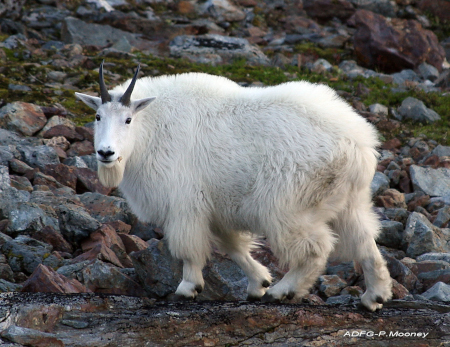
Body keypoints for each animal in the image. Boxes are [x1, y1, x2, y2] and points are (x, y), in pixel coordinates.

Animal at [75, 62, 392, 312]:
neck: (149, 129)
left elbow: (189, 248)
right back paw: (374, 296)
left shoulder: (184, 203)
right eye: (97, 117)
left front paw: (188, 288)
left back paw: (284, 291)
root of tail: (357, 143)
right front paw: (258, 282)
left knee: (316, 248)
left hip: (288, 206)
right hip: (349, 201)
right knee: (365, 242)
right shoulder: (216, 208)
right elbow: (232, 245)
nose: (106, 153)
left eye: (128, 119)